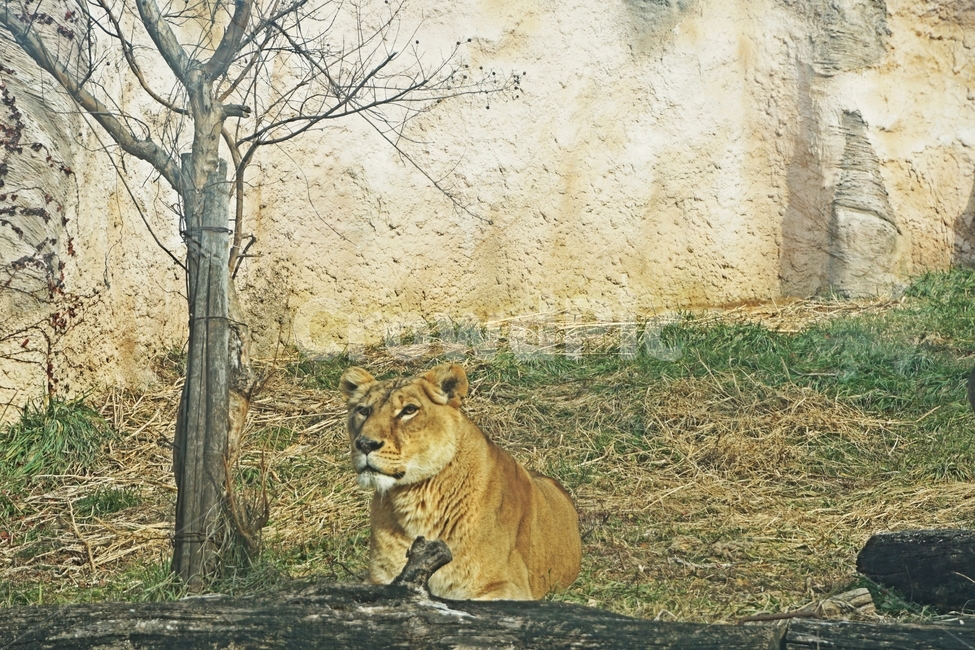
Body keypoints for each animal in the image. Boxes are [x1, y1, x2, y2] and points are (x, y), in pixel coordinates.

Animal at [340, 362, 582, 600]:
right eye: (364, 411)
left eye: (409, 410)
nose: (365, 444)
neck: (416, 498)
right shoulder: (378, 579)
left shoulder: (507, 586)